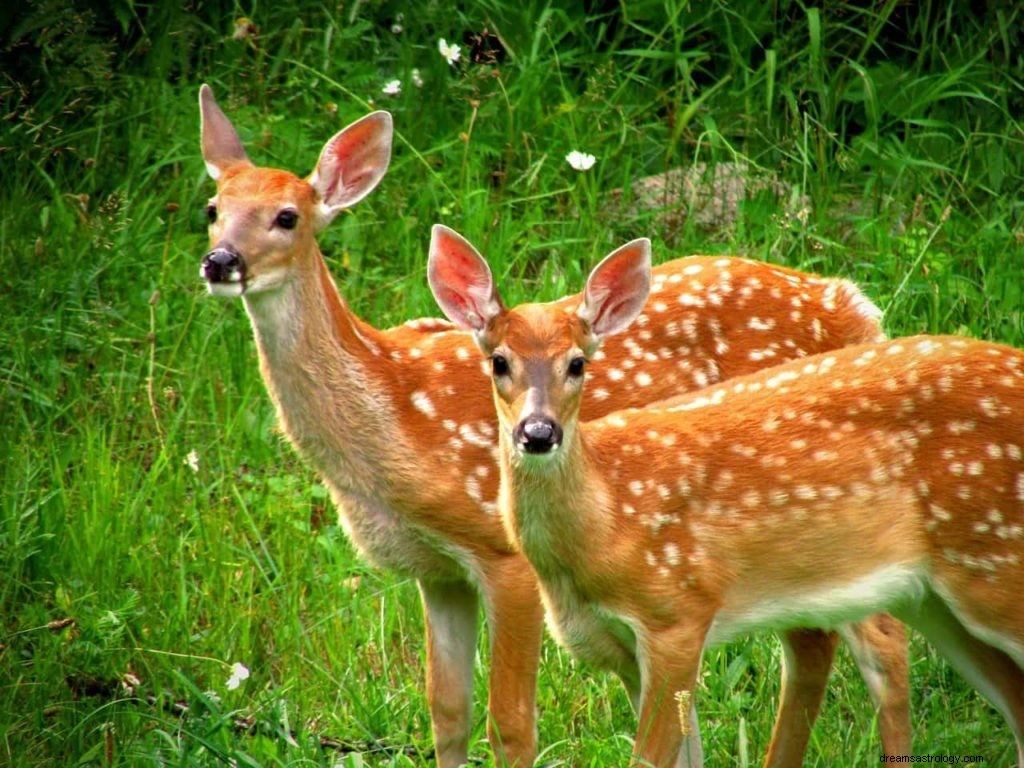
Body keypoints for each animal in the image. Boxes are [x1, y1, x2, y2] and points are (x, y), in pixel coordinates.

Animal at [197, 81, 913, 765]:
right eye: (212, 210)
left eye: (287, 216)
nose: (222, 261)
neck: (393, 418)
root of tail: (854, 307)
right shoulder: (437, 572)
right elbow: (447, 713)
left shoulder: (502, 552)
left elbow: (512, 724)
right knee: (813, 644)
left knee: (882, 642)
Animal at [425, 236, 1024, 768]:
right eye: (499, 361)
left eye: (577, 363)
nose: (538, 432)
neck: (608, 516)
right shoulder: (624, 648)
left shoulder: (676, 611)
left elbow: (649, 758)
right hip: (933, 599)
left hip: (994, 567)